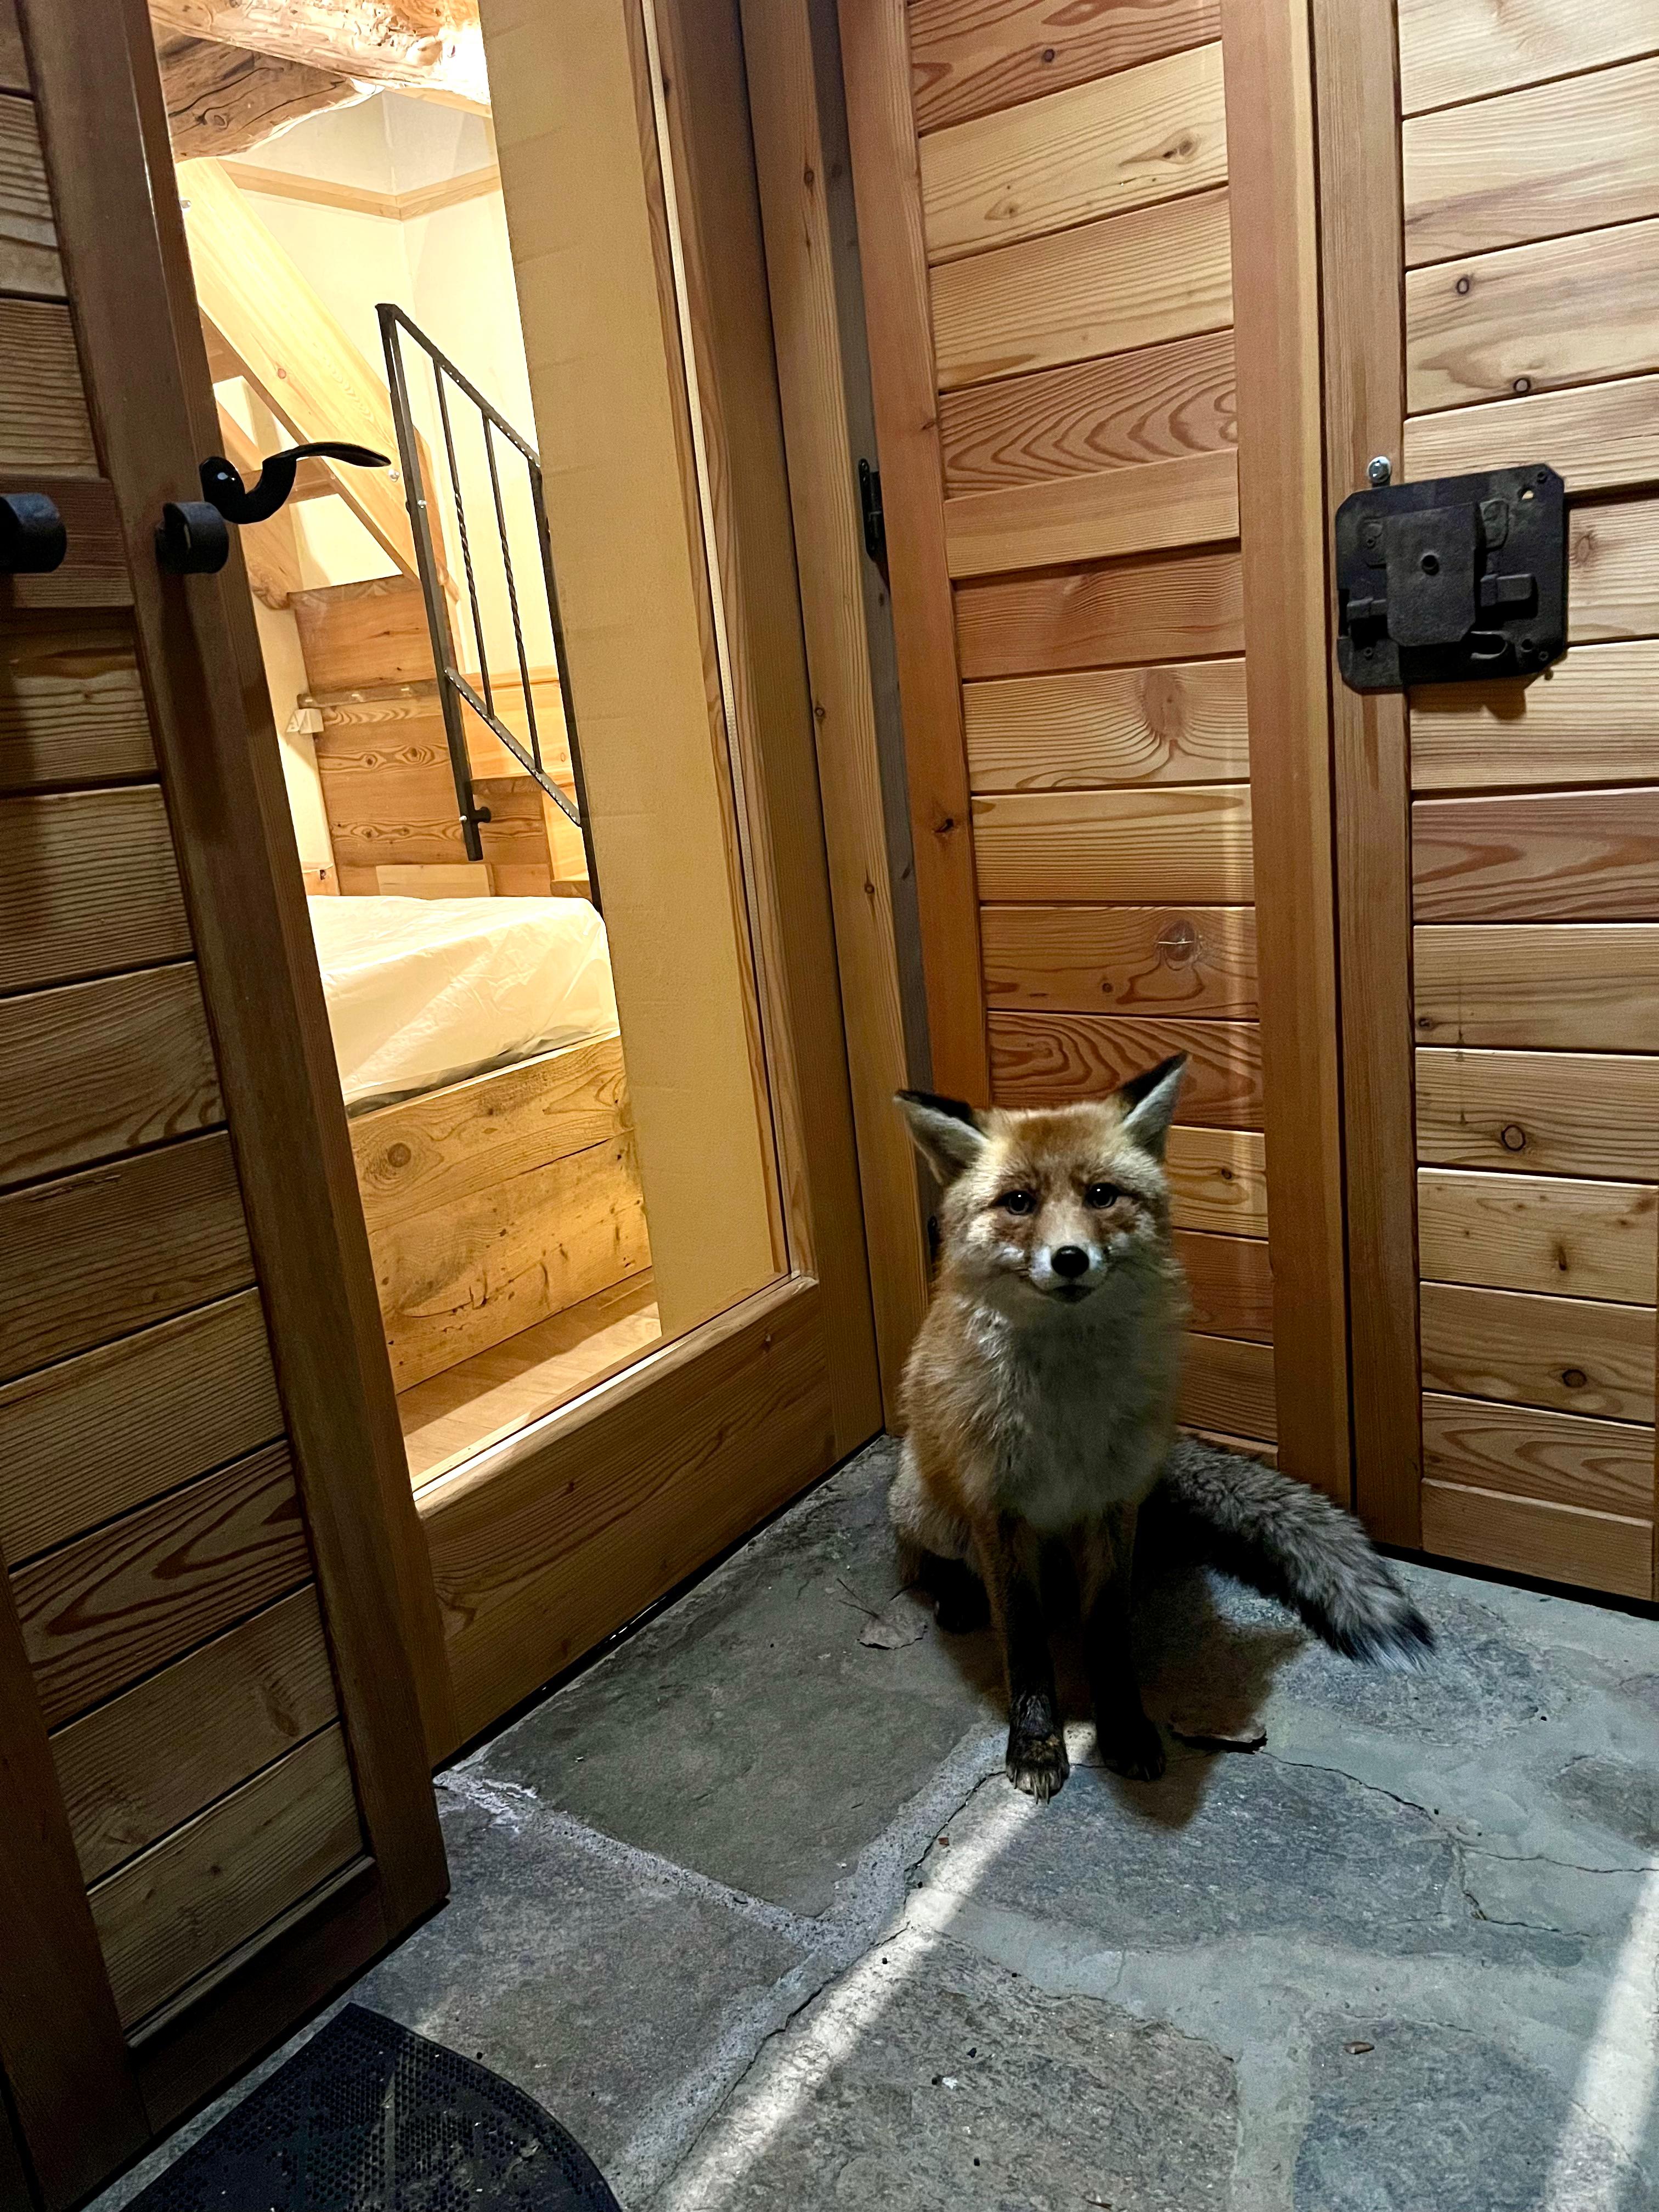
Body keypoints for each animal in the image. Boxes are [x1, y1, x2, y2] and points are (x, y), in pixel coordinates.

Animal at [894, 1054, 1431, 1804]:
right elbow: (1025, 1647)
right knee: (923, 1559)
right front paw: (1035, 1742)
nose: (1069, 1258)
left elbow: (1108, 1633)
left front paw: (1124, 1728)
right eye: (1019, 1203)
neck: (1068, 1410)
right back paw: (953, 1595)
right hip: (932, 1508)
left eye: (1101, 1195)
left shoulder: (1113, 1505)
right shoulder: (997, 1511)